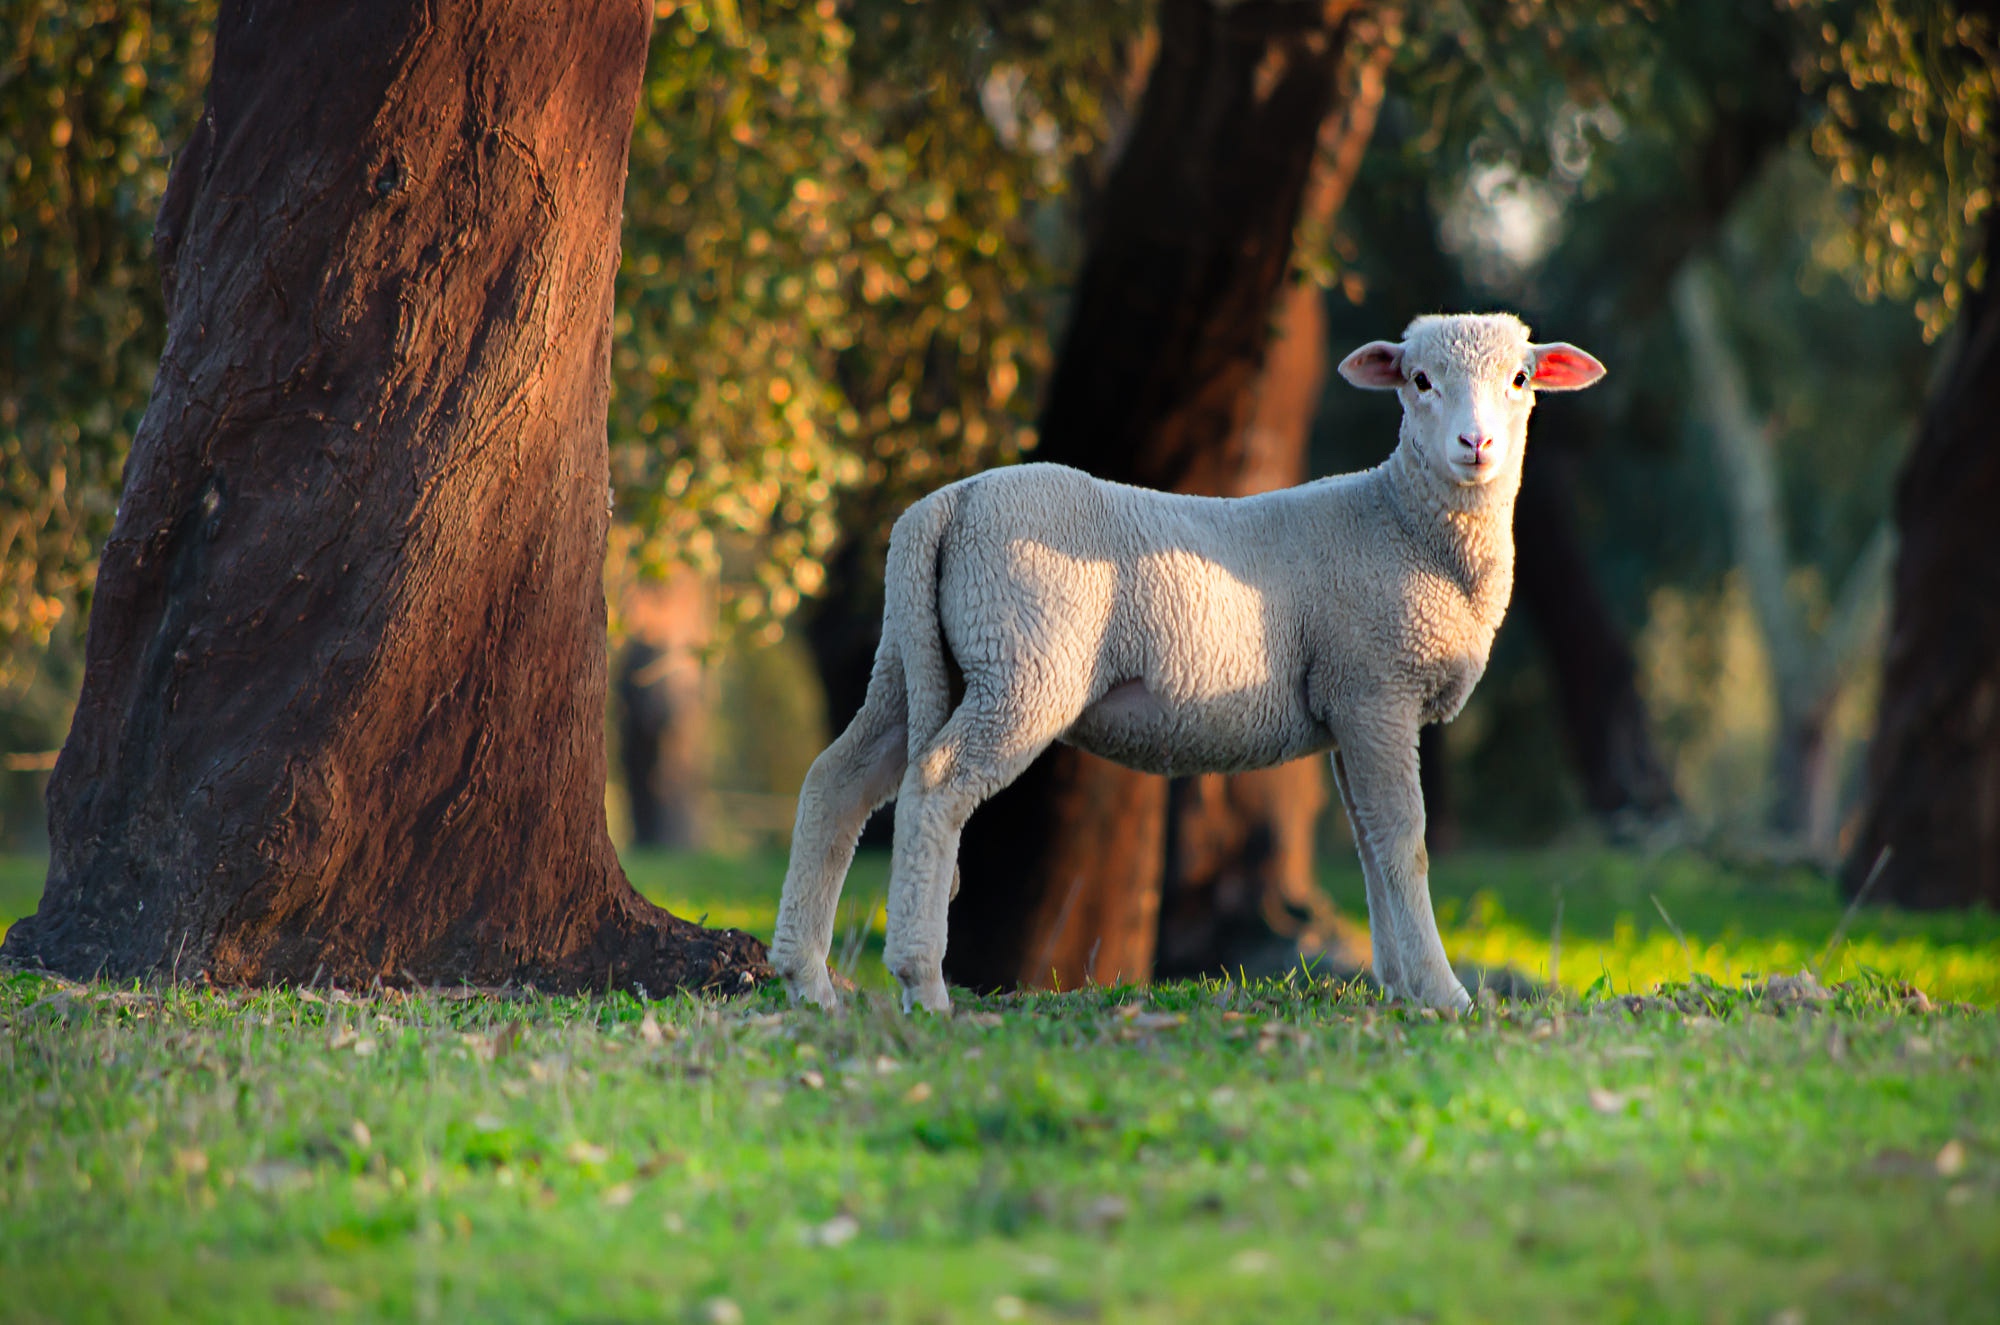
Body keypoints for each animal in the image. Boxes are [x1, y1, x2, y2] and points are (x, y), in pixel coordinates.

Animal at [771, 312, 1606, 1015]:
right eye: (1420, 381)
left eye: (1520, 379)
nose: (1476, 446)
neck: (1402, 522)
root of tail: (945, 504)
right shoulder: (1376, 686)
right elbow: (1407, 841)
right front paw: (1444, 993)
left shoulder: (1352, 703)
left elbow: (1371, 843)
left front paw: (1398, 985)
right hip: (1022, 663)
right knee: (936, 783)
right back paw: (921, 981)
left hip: (911, 659)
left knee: (836, 780)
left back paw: (806, 977)